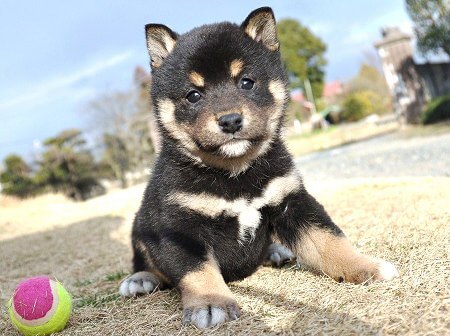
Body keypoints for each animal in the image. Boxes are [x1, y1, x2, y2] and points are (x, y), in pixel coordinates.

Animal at [119, 7, 398, 328]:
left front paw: (365, 266)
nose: (230, 121)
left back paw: (277, 250)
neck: (234, 172)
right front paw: (211, 303)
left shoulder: (292, 201)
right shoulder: (179, 228)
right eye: (193, 95)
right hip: (141, 225)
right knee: (147, 261)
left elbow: (329, 240)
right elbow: (197, 270)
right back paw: (140, 279)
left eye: (246, 82)